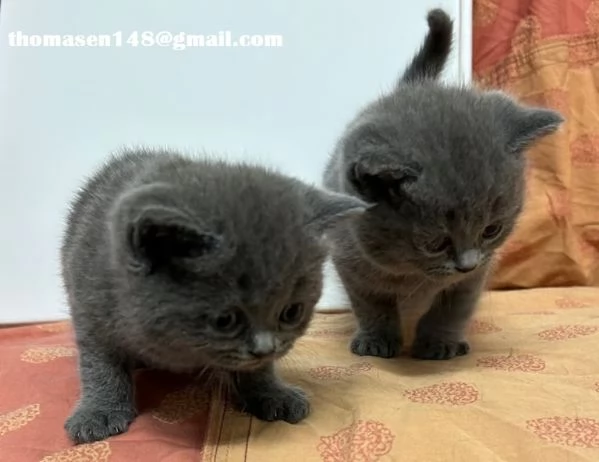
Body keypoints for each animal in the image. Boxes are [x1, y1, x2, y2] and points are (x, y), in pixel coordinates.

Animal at [63, 148, 368, 444]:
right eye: (225, 320)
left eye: (291, 312)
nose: (265, 348)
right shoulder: (90, 308)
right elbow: (100, 366)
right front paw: (99, 412)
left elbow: (258, 369)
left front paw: (272, 394)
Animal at [324, 8, 564, 360]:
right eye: (435, 243)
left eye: (491, 230)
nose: (466, 264)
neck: (410, 274)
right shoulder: (349, 260)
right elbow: (372, 304)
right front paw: (377, 340)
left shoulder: (477, 274)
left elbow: (452, 308)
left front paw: (439, 343)